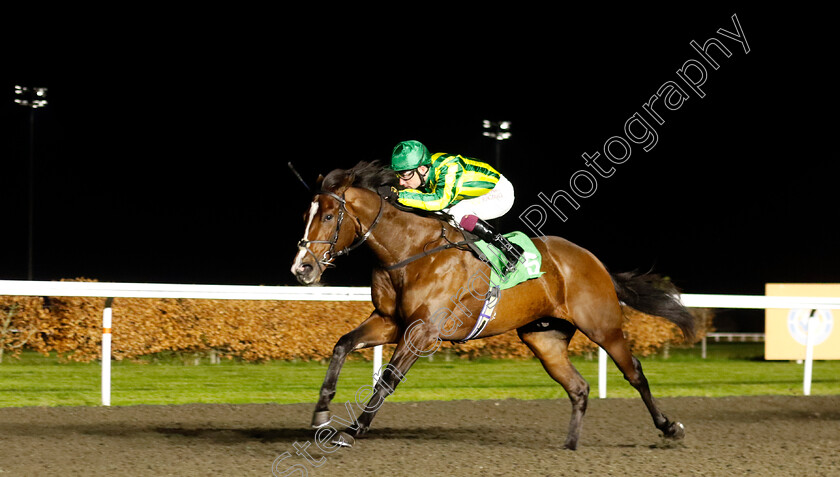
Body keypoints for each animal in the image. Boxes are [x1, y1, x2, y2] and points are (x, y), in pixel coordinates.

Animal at [292, 161, 692, 450]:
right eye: (305, 216)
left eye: (329, 216)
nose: (302, 268)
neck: (410, 251)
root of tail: (593, 261)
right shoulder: (390, 321)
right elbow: (342, 344)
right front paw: (321, 413)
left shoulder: (423, 332)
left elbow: (388, 378)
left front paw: (352, 429)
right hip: (543, 338)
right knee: (578, 387)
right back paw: (570, 445)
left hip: (603, 327)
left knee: (634, 373)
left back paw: (670, 428)